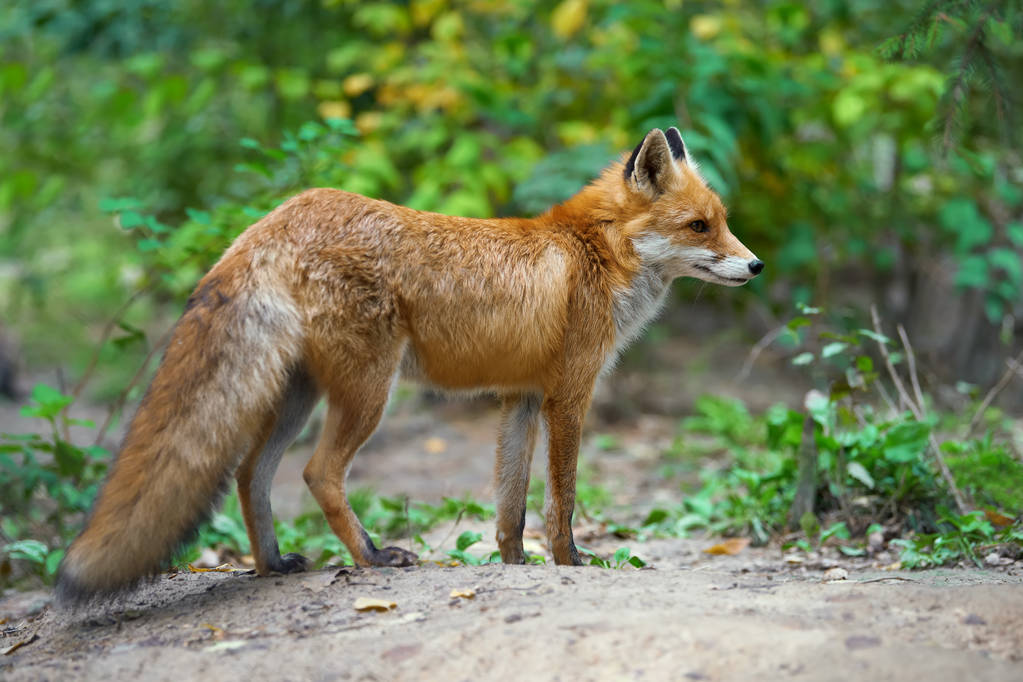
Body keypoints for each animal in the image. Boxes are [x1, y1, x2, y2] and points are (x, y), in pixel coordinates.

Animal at [56, 126, 761, 601]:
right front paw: (571, 564)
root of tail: (275, 219)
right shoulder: (569, 396)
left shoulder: (522, 397)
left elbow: (510, 509)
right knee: (317, 474)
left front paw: (515, 568)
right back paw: (370, 559)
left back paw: (272, 566)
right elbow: (560, 501)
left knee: (252, 473)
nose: (755, 266)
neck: (593, 253)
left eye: (722, 222)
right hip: (370, 392)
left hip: (299, 396)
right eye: (700, 227)